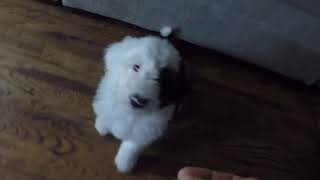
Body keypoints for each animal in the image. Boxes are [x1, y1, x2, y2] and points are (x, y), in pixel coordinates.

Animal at [92, 27, 188, 173]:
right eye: (136, 67)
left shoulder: (146, 129)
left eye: (161, 79)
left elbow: (132, 145)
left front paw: (124, 163)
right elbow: (107, 113)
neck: (130, 111)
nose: (137, 100)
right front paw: (102, 126)